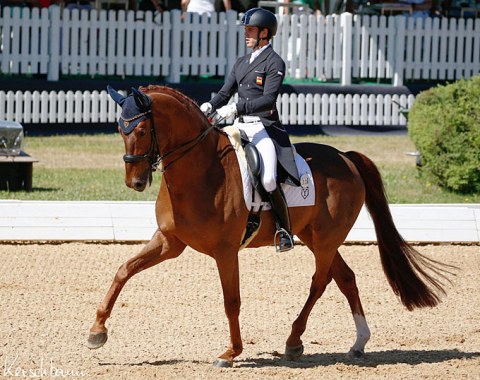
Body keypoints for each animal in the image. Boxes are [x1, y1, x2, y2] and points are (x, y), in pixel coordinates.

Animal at [87, 85, 454, 368]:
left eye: (142, 131)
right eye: (120, 130)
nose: (135, 182)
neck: (201, 170)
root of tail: (346, 157)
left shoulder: (225, 251)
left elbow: (231, 300)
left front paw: (231, 353)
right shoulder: (169, 241)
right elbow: (123, 270)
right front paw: (97, 331)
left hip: (324, 241)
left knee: (320, 282)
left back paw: (294, 340)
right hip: (316, 237)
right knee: (345, 278)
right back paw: (358, 343)